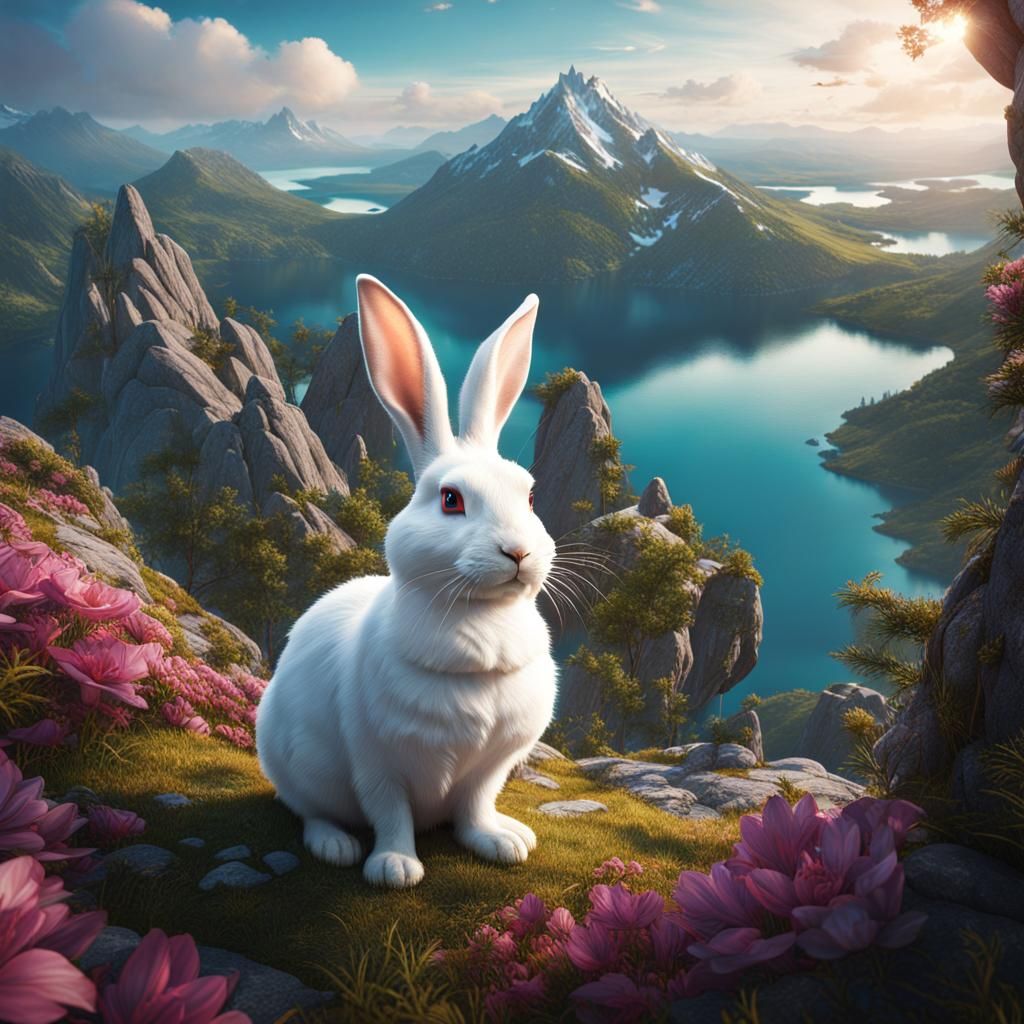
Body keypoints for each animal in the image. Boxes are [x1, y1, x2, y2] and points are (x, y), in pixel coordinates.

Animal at [256, 274, 558, 888]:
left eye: (531, 496)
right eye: (451, 500)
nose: (518, 552)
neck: (481, 633)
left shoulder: (490, 767)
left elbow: (476, 805)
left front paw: (502, 842)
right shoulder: (376, 760)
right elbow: (389, 812)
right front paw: (394, 868)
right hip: (293, 762)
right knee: (308, 809)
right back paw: (335, 845)